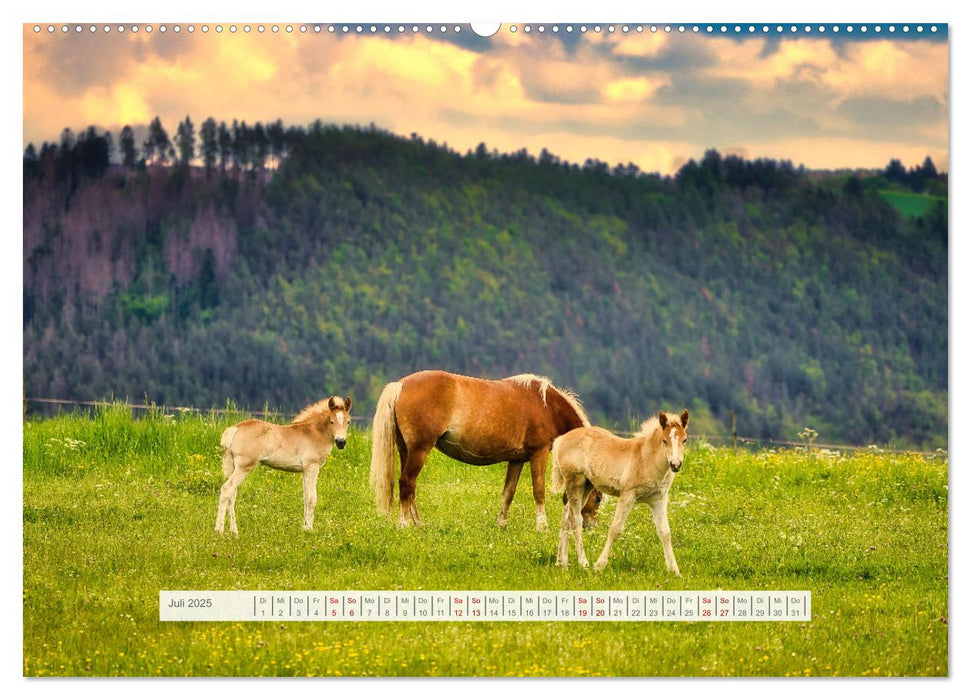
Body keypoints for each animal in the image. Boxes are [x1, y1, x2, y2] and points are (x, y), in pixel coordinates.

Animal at [215, 394, 352, 536]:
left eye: (348, 421)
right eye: (331, 421)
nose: (341, 442)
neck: (313, 433)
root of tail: (235, 428)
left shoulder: (304, 471)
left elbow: (305, 497)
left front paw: (304, 528)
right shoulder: (312, 467)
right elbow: (311, 498)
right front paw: (309, 530)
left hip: (233, 466)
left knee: (232, 494)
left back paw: (234, 532)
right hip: (244, 466)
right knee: (227, 489)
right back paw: (219, 530)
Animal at [370, 370, 600, 528]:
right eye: (598, 498)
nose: (589, 526)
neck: (547, 406)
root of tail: (400, 385)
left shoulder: (517, 459)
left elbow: (509, 492)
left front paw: (502, 524)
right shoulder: (539, 454)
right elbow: (539, 490)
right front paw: (542, 526)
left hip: (406, 450)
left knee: (410, 487)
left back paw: (418, 523)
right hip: (419, 450)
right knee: (406, 483)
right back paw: (405, 524)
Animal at [556, 410, 692, 576]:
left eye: (685, 440)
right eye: (664, 441)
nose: (675, 464)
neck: (647, 460)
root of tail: (562, 439)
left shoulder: (659, 499)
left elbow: (665, 532)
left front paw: (674, 571)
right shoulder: (628, 496)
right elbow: (615, 530)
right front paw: (599, 565)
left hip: (586, 486)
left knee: (566, 515)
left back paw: (561, 563)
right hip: (575, 483)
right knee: (575, 519)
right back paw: (583, 563)